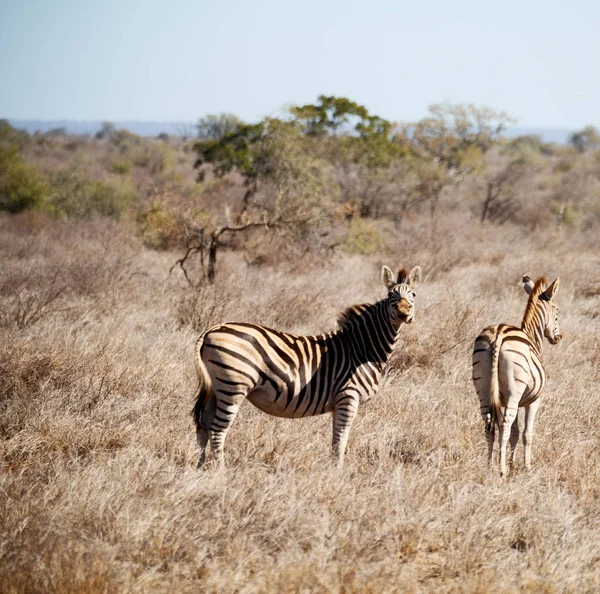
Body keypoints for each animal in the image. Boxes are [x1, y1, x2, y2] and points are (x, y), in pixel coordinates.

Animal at [192, 264, 422, 468]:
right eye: (391, 296)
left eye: (413, 294)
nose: (404, 312)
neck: (363, 349)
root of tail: (211, 330)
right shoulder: (348, 397)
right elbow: (340, 442)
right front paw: (337, 475)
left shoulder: (339, 402)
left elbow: (335, 441)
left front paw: (333, 471)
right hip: (233, 386)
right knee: (217, 430)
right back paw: (221, 472)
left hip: (216, 388)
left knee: (204, 424)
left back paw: (201, 469)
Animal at [474, 274, 564, 476]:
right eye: (557, 311)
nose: (559, 338)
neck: (532, 336)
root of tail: (498, 334)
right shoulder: (534, 400)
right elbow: (526, 433)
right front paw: (526, 466)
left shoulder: (507, 400)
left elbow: (515, 433)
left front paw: (512, 462)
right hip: (514, 391)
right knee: (505, 425)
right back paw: (501, 471)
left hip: (484, 390)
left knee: (489, 426)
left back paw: (489, 467)